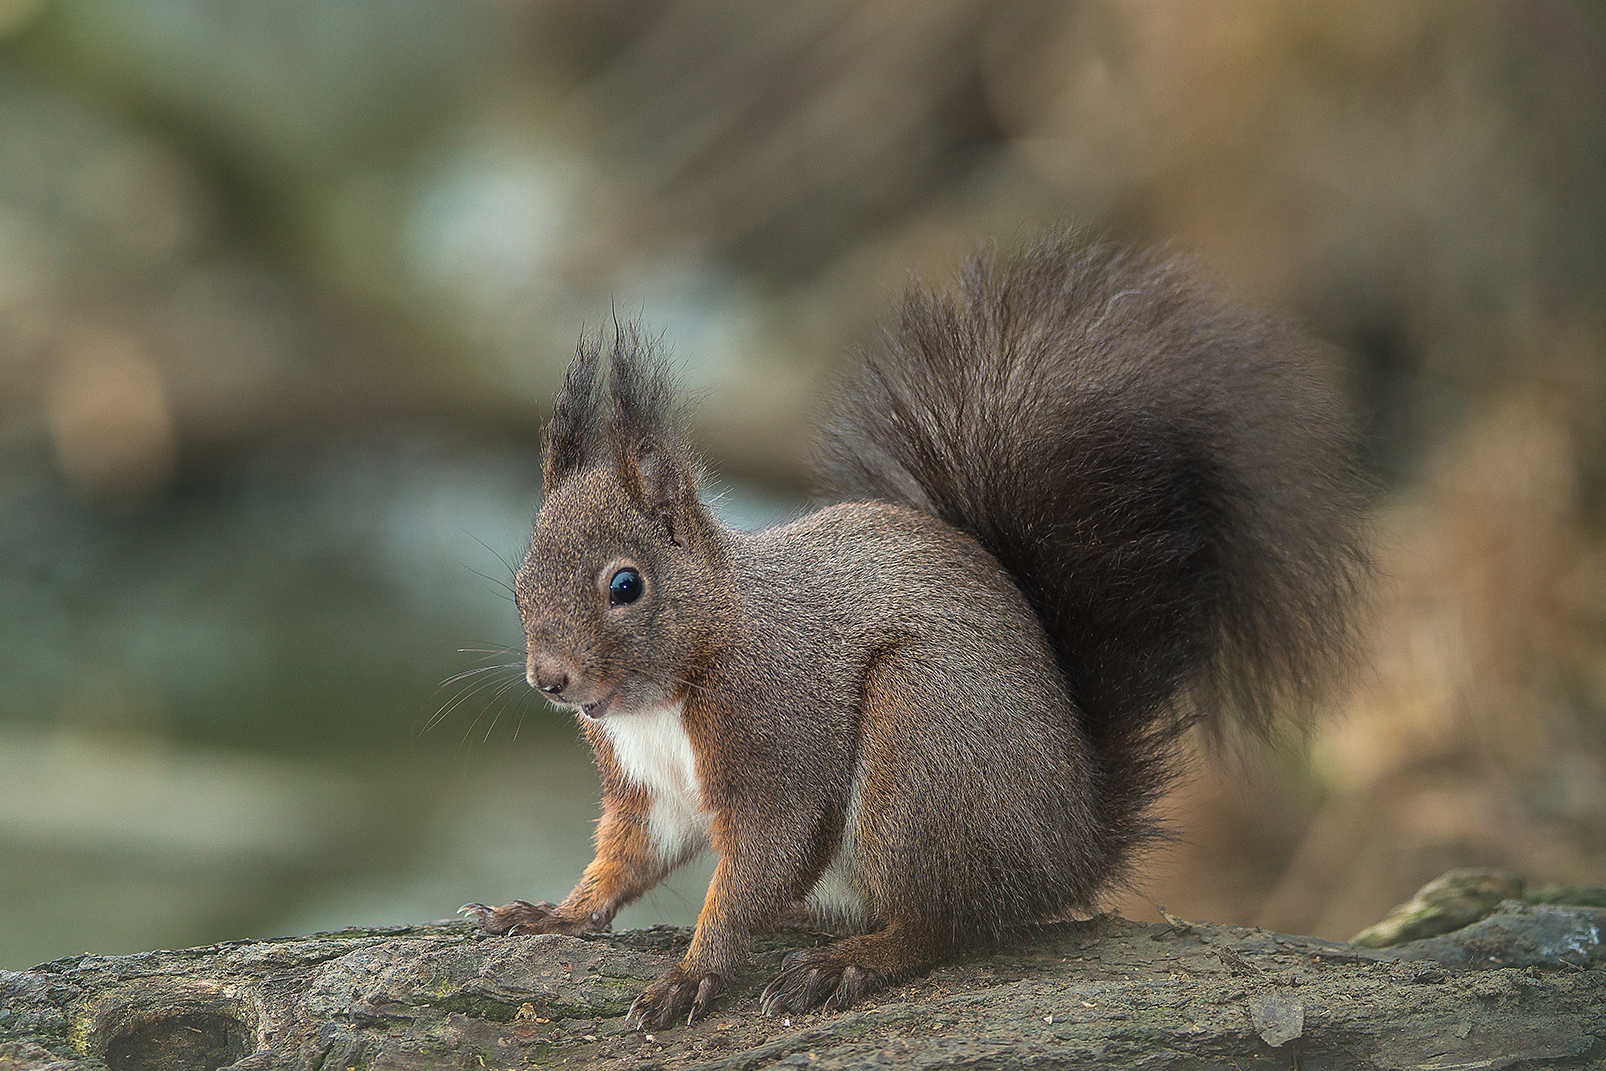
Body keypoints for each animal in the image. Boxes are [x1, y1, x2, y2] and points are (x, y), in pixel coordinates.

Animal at [460, 231, 1370, 1029]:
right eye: (521, 582)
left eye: (626, 585)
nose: (551, 680)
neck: (673, 680)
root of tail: (1074, 840)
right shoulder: (646, 789)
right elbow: (627, 858)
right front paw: (552, 913)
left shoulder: (778, 738)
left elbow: (761, 859)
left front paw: (693, 972)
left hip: (925, 739)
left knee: (944, 923)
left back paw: (851, 960)